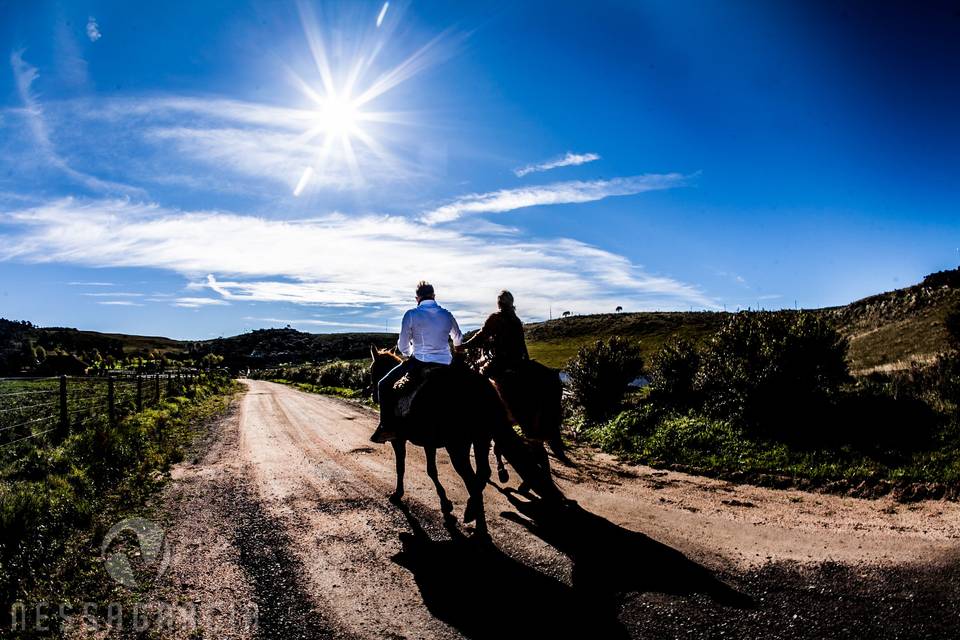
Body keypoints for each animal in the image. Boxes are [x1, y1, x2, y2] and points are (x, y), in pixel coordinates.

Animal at [370, 348, 564, 532]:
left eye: (373, 370)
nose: (373, 395)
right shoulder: (429, 443)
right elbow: (431, 470)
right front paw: (445, 503)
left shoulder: (399, 440)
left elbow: (401, 466)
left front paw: (398, 494)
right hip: (482, 438)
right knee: (485, 471)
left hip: (460, 445)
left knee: (475, 475)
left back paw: (476, 515)